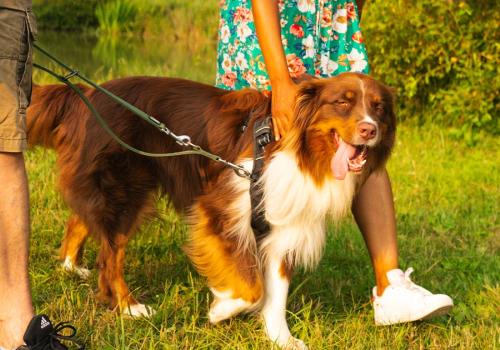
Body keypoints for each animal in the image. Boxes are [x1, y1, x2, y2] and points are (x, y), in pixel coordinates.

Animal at [27, 73, 394, 348]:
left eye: (378, 108)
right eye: (342, 102)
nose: (370, 130)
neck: (299, 150)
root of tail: (85, 93)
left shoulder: (282, 224)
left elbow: (276, 290)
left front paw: (281, 338)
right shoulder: (221, 208)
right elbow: (253, 288)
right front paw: (222, 309)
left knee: (82, 220)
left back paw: (71, 267)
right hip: (126, 188)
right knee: (110, 254)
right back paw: (130, 306)